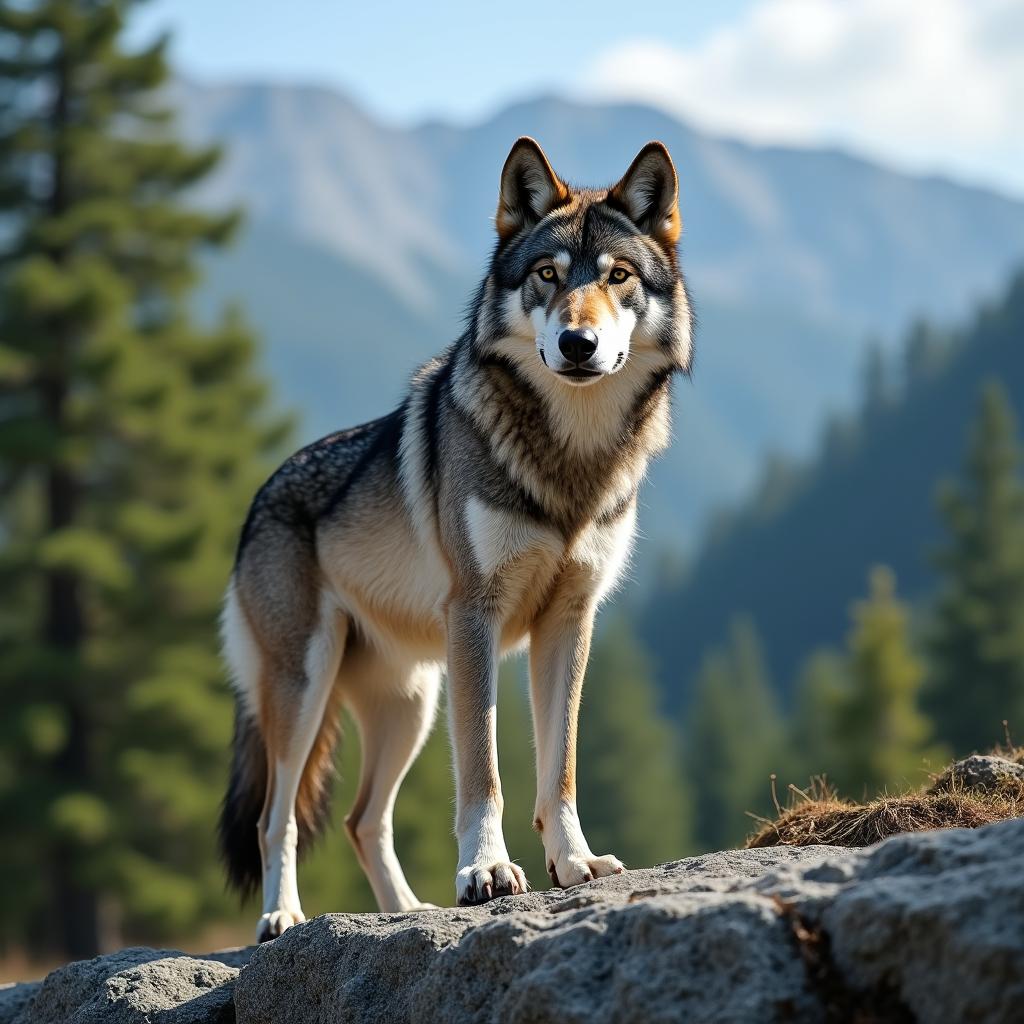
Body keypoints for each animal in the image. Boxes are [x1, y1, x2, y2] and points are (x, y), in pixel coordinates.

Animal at [219, 138, 692, 942]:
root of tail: (259, 497)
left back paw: (409, 911)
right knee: (273, 820)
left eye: (617, 277)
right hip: (305, 690)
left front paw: (575, 863)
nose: (578, 342)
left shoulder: (570, 622)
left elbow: (559, 769)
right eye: (546, 276)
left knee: (361, 820)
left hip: (411, 706)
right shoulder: (477, 616)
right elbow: (485, 770)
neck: (569, 460)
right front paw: (486, 873)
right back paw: (283, 916)